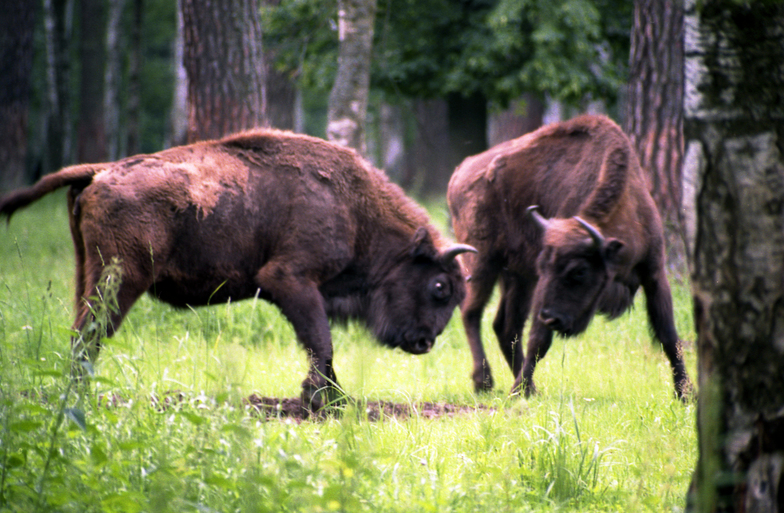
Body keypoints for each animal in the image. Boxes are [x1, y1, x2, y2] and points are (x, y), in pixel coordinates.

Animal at [0, 129, 474, 412]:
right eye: (439, 286)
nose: (425, 342)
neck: (355, 209)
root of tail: (101, 171)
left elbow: (320, 344)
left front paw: (332, 398)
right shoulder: (290, 280)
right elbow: (320, 341)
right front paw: (322, 400)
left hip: (87, 271)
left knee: (81, 332)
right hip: (120, 279)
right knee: (91, 333)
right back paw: (82, 397)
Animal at [448, 114, 692, 398]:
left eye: (579, 270)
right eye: (545, 266)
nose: (550, 317)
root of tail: (460, 171)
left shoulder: (653, 272)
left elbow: (669, 336)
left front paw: (685, 393)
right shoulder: (541, 287)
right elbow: (539, 340)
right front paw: (517, 389)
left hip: (518, 277)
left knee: (506, 326)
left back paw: (530, 389)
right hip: (482, 262)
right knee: (471, 312)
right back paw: (484, 381)